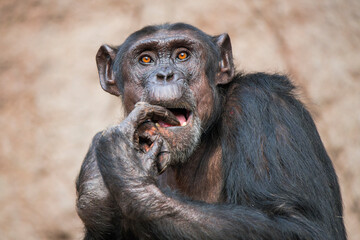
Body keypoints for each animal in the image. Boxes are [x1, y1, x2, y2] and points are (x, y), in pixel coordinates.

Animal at [75, 23, 346, 240]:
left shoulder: (264, 106)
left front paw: (126, 167)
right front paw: (95, 189)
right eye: (146, 60)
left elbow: (300, 224)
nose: (165, 75)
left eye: (182, 55)